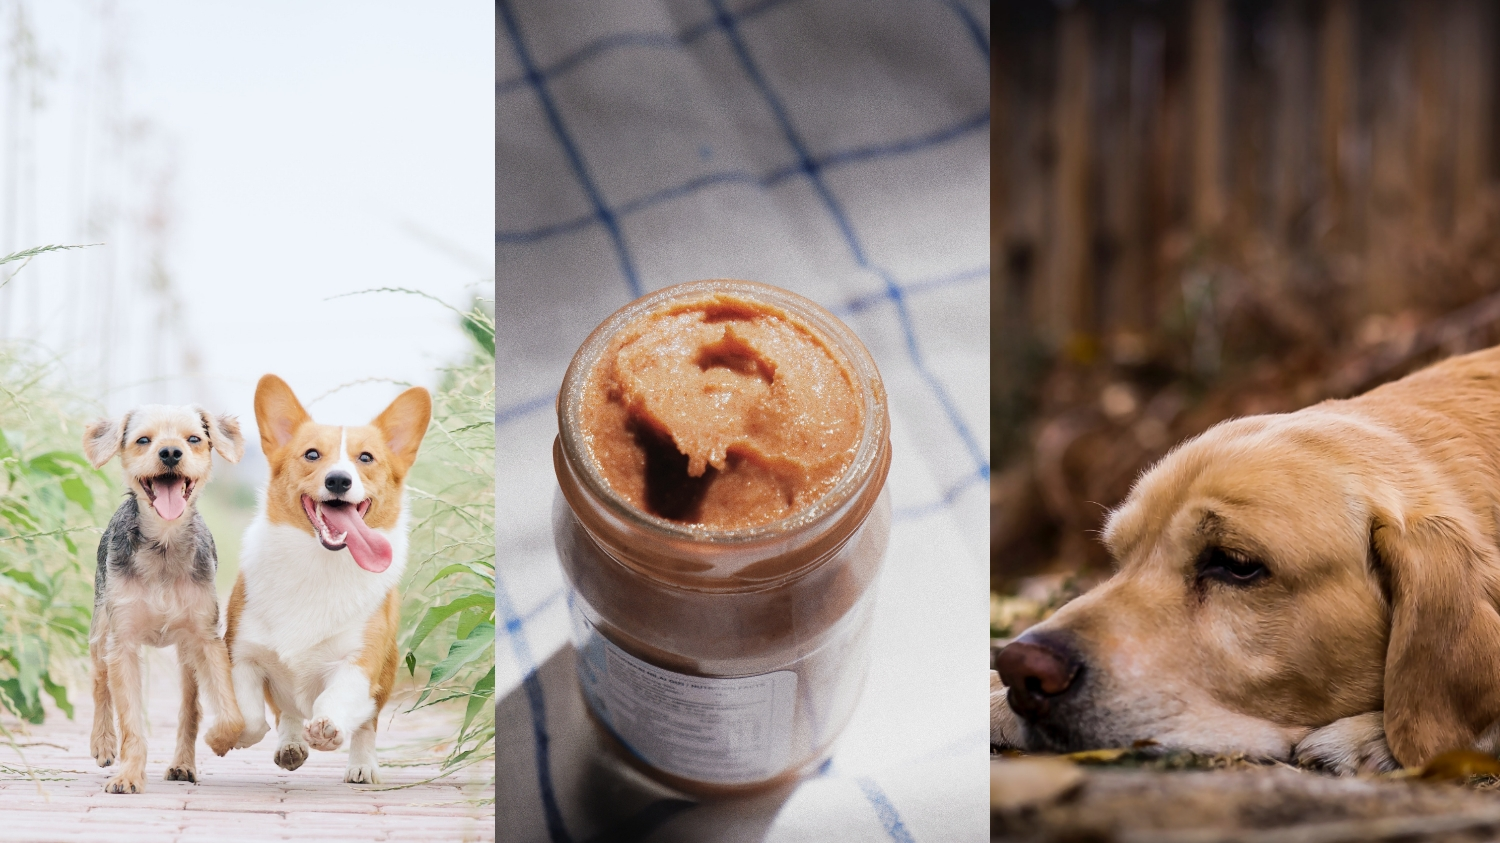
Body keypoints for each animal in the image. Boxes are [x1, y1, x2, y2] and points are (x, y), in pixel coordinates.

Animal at [83, 405, 246, 792]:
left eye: (194, 439)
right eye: (143, 440)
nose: (170, 452)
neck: (164, 544)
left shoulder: (206, 639)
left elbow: (230, 713)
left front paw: (221, 739)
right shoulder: (123, 643)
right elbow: (130, 720)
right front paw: (128, 774)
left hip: (186, 656)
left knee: (190, 707)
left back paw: (183, 765)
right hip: (100, 630)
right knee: (99, 682)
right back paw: (103, 743)